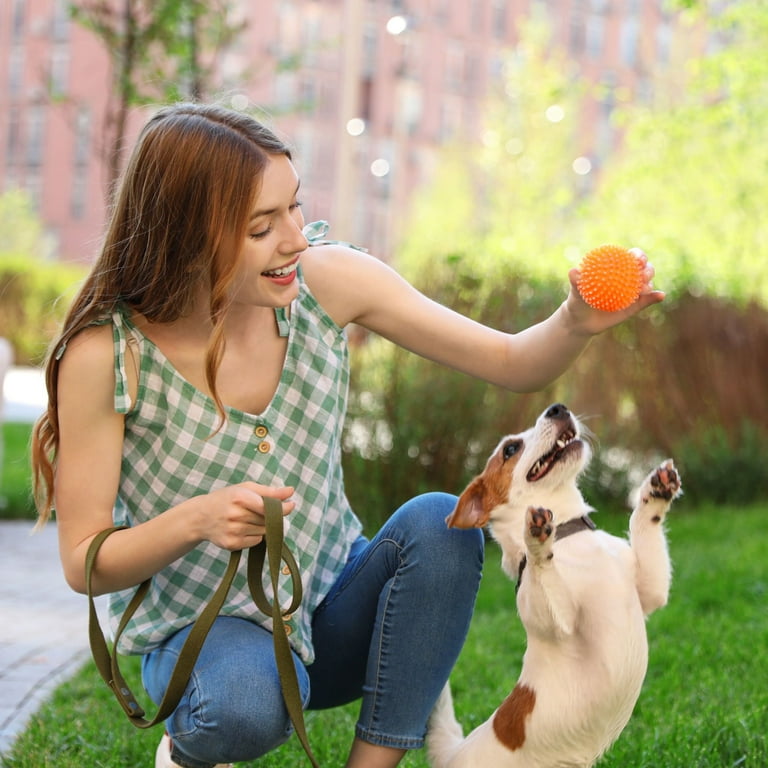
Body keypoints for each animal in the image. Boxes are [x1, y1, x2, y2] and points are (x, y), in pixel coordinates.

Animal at [426, 404, 684, 764]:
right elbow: (543, 574)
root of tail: (455, 754)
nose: (558, 408)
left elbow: (643, 524)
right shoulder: (557, 622)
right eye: (510, 449)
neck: (569, 534)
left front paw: (656, 492)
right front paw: (535, 540)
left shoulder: (650, 591)